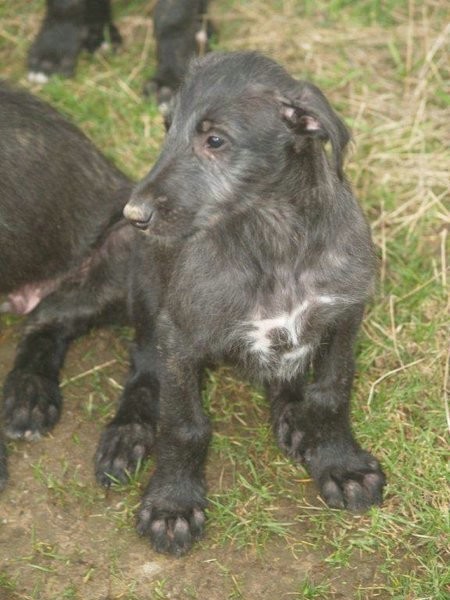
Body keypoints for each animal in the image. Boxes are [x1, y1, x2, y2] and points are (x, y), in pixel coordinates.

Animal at [95, 51, 386, 556]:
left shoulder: (344, 316)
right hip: (147, 294)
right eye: (167, 128)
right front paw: (173, 504)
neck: (275, 238)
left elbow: (331, 394)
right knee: (143, 366)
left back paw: (294, 417)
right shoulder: (180, 338)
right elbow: (183, 424)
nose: (134, 216)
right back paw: (127, 431)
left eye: (215, 140)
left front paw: (339, 462)